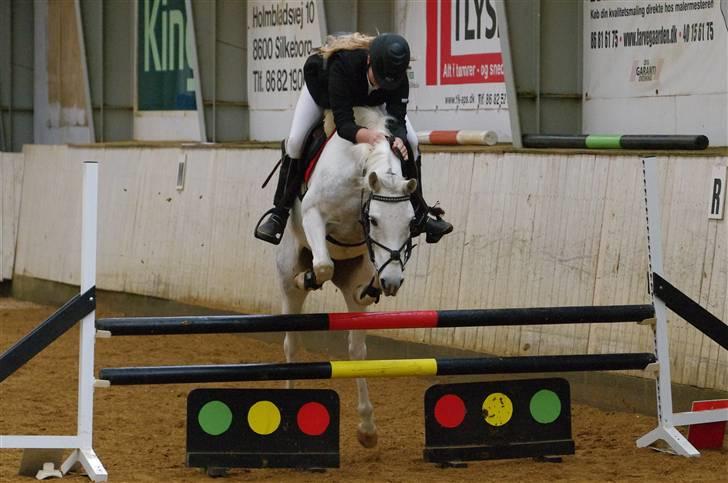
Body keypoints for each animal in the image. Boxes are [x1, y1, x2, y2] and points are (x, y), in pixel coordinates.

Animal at [276, 106, 417, 448]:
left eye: (411, 222)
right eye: (375, 220)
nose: (393, 283)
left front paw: (374, 287)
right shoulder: (313, 214)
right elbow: (323, 265)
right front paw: (309, 277)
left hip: (353, 278)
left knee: (356, 351)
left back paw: (367, 427)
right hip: (287, 277)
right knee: (292, 344)